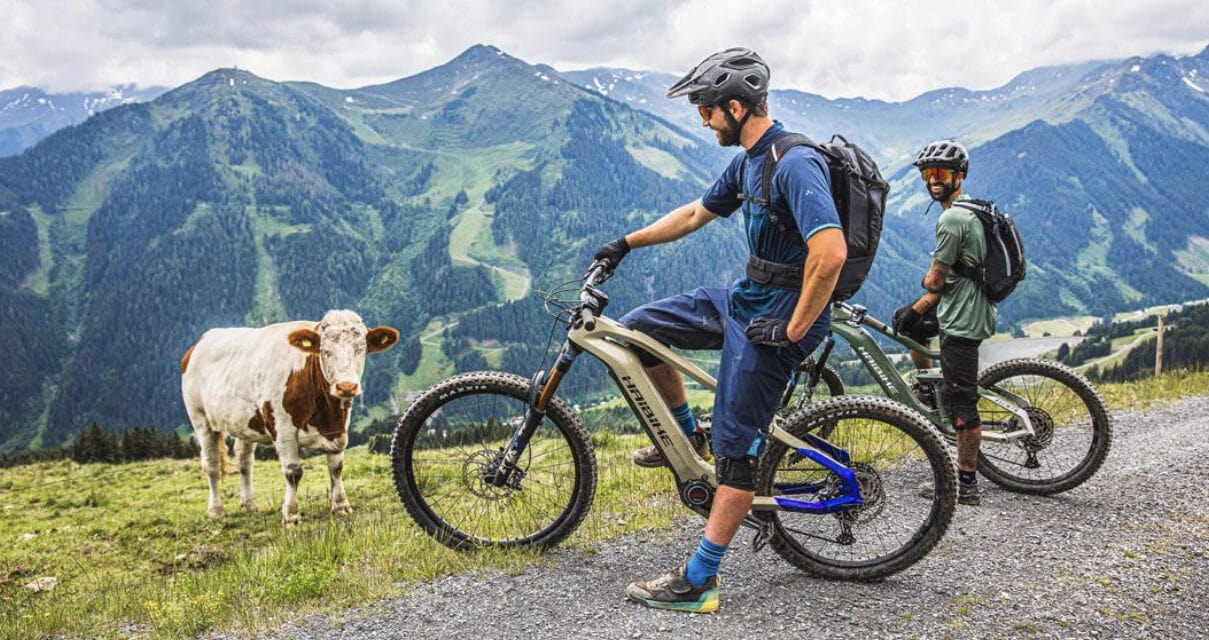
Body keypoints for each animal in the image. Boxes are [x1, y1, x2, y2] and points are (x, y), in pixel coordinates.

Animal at [181, 308, 396, 525]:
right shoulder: (283, 430)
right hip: (201, 420)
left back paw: (249, 504)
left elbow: (336, 467)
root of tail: (201, 341)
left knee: (244, 460)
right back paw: (216, 510)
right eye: (325, 351)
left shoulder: (339, 428)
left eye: (360, 349)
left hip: (245, 423)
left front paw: (341, 507)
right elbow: (293, 472)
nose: (346, 386)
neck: (326, 412)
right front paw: (291, 515)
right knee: (212, 464)